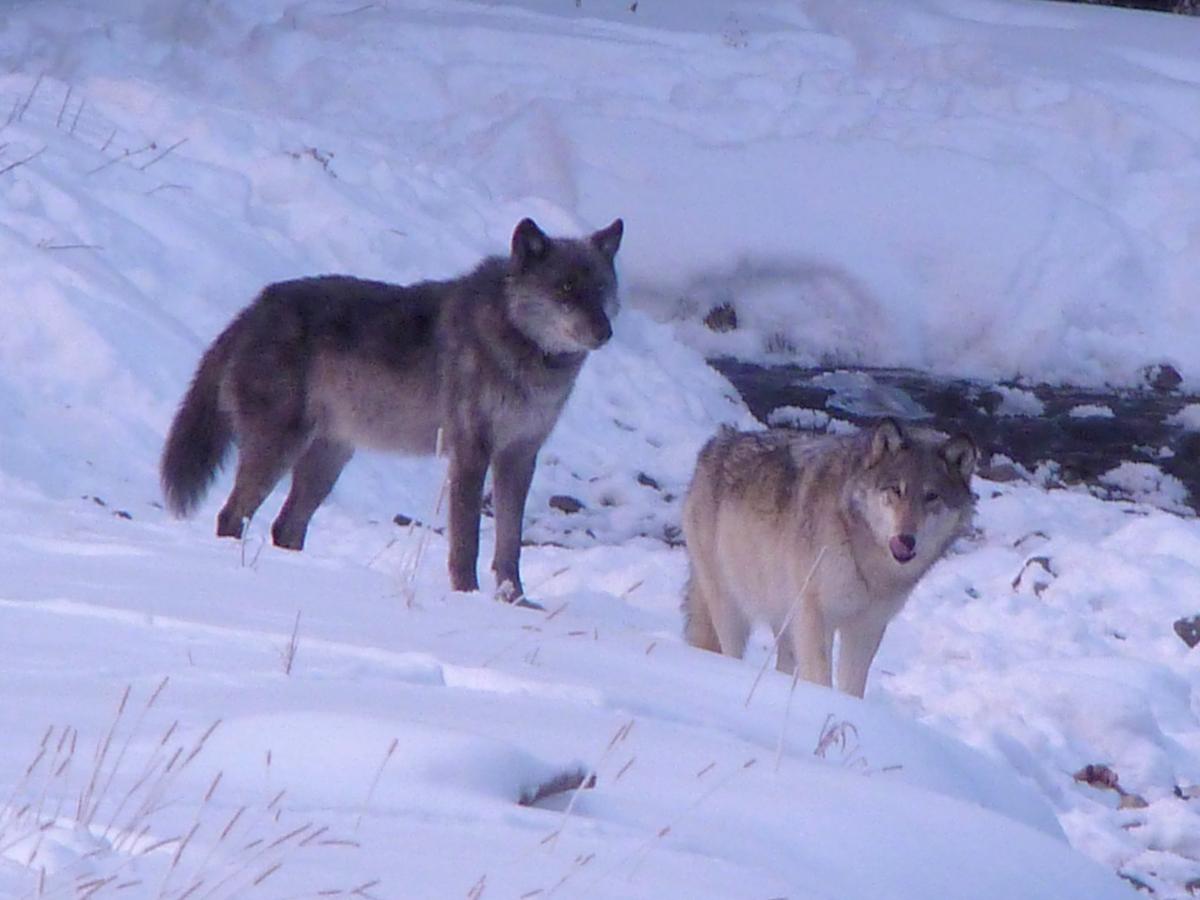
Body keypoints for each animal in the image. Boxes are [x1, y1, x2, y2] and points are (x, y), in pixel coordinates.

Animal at [160, 214, 624, 602]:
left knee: (284, 526)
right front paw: (467, 596)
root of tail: (254, 308)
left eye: (601, 288)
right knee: (231, 516)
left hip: (327, 461)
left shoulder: (520, 456)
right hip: (278, 452)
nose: (605, 332)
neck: (523, 345)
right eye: (565, 288)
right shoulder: (471, 452)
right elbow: (467, 542)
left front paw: (515, 601)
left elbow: (509, 545)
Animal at [686, 420, 974, 700]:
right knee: (728, 652)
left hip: (785, 617)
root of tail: (715, 443)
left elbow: (852, 689)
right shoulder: (817, 617)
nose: (906, 539)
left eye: (932, 496)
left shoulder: (867, 627)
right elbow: (821, 680)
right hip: (732, 610)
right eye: (896, 490)